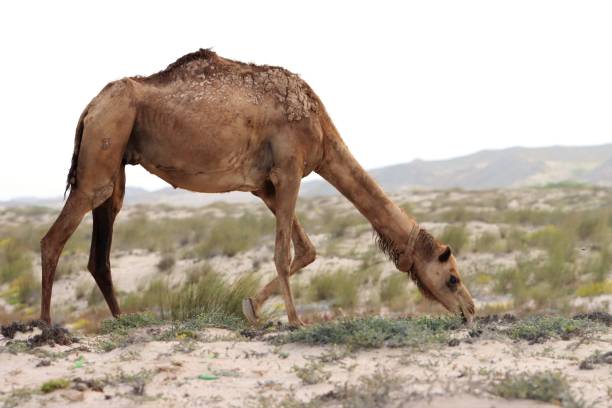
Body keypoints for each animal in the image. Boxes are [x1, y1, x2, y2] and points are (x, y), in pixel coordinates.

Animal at [40, 49, 476, 326]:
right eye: (452, 277)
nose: (471, 311)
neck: (320, 129)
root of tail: (91, 106)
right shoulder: (289, 170)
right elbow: (284, 253)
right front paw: (295, 321)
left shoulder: (264, 185)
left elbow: (306, 249)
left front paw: (251, 307)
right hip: (106, 137)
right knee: (55, 236)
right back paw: (47, 327)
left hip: (115, 157)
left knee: (102, 241)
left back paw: (121, 319)